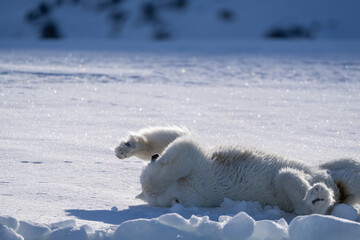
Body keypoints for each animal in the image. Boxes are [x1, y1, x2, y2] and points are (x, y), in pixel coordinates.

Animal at [114, 126, 360, 215]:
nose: (154, 158)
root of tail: (339, 193)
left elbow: (175, 136)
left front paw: (126, 147)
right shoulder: (198, 178)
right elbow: (186, 147)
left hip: (333, 169)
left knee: (348, 169)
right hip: (290, 192)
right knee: (288, 180)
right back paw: (316, 196)